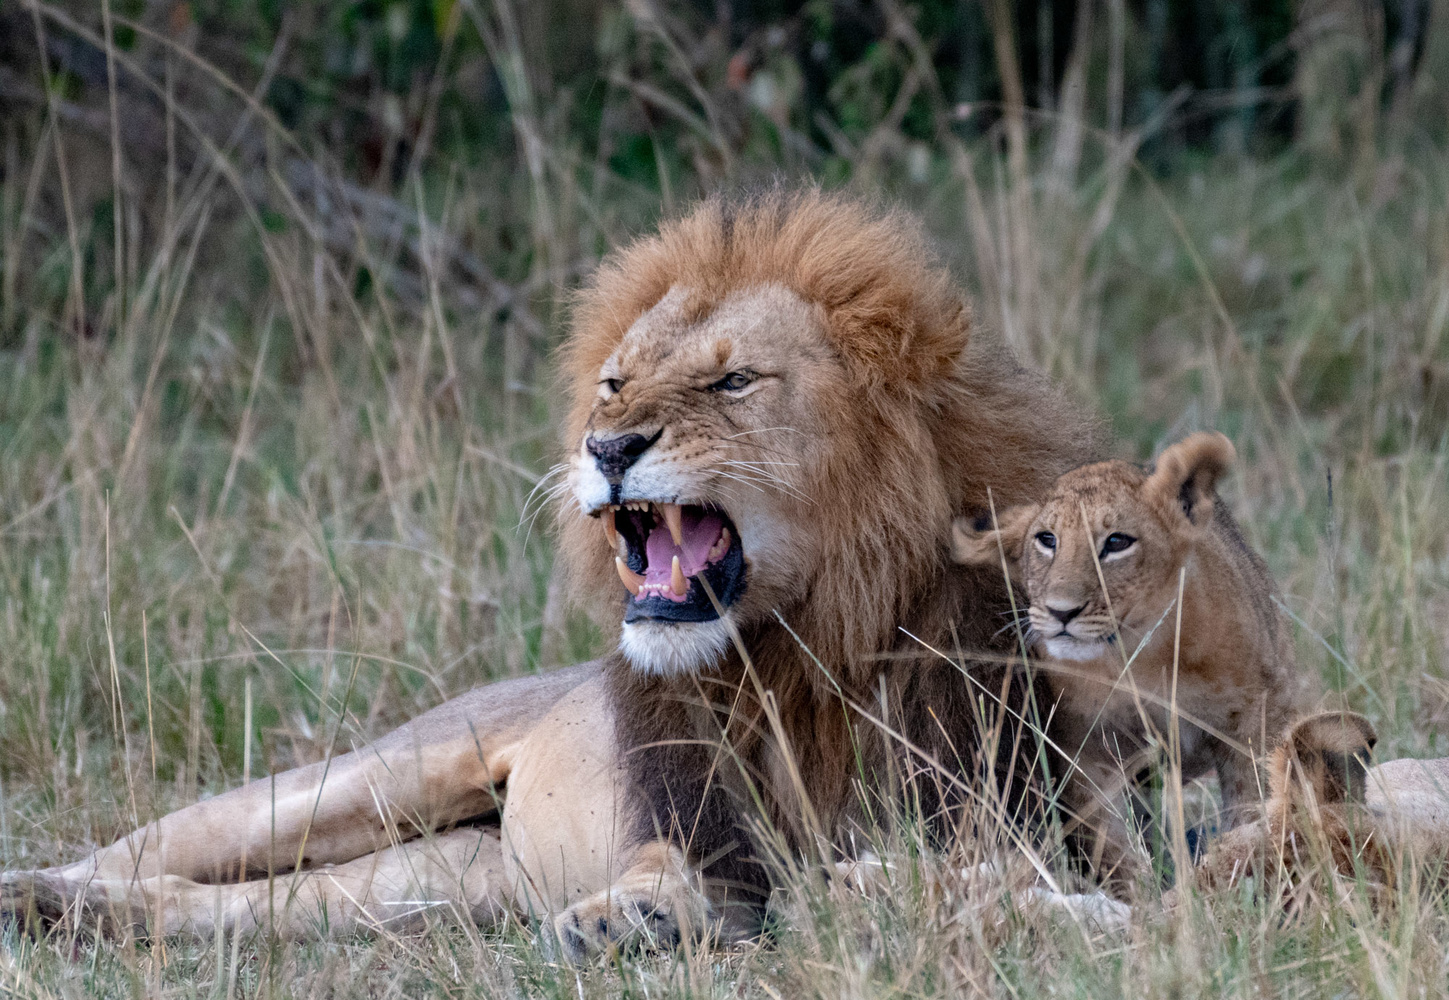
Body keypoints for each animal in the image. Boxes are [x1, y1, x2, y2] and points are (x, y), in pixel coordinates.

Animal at [0, 188, 1089, 956]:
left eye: (732, 381)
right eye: (613, 382)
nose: (606, 447)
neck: (803, 645)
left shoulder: (986, 800)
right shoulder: (685, 797)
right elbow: (678, 859)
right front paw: (636, 913)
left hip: (434, 884)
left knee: (234, 905)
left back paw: (70, 914)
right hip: (364, 779)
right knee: (157, 850)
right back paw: (38, 893)